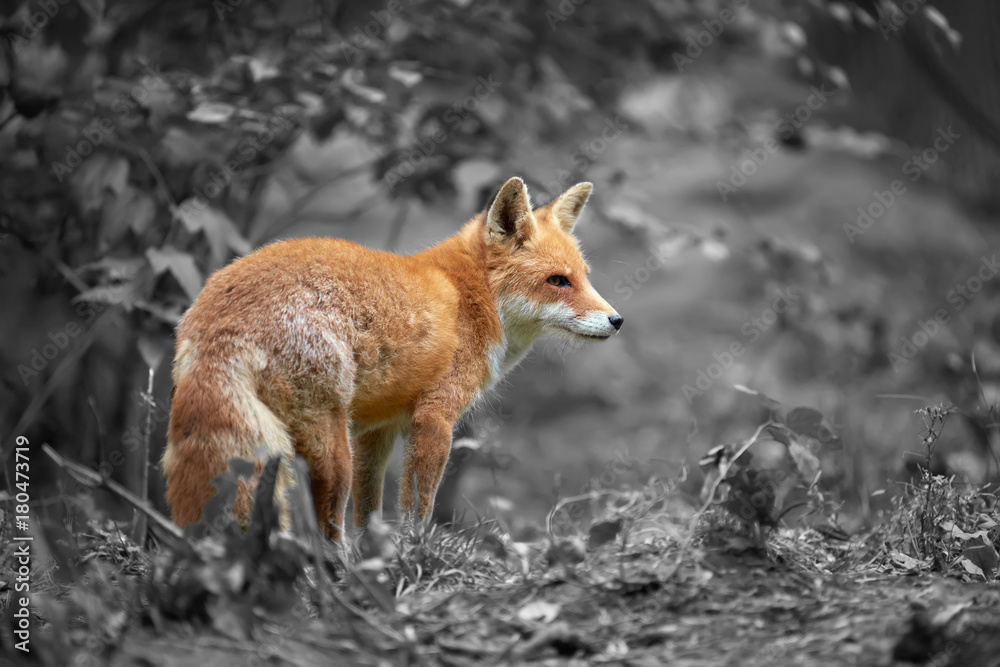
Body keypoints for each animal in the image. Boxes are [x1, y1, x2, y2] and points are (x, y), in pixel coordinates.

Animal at [162, 177, 623, 540]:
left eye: (584, 277)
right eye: (557, 281)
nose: (617, 320)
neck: (472, 298)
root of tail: (217, 313)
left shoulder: (376, 430)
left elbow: (370, 513)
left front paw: (379, 558)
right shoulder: (434, 417)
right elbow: (418, 508)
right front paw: (413, 555)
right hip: (330, 448)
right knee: (327, 529)